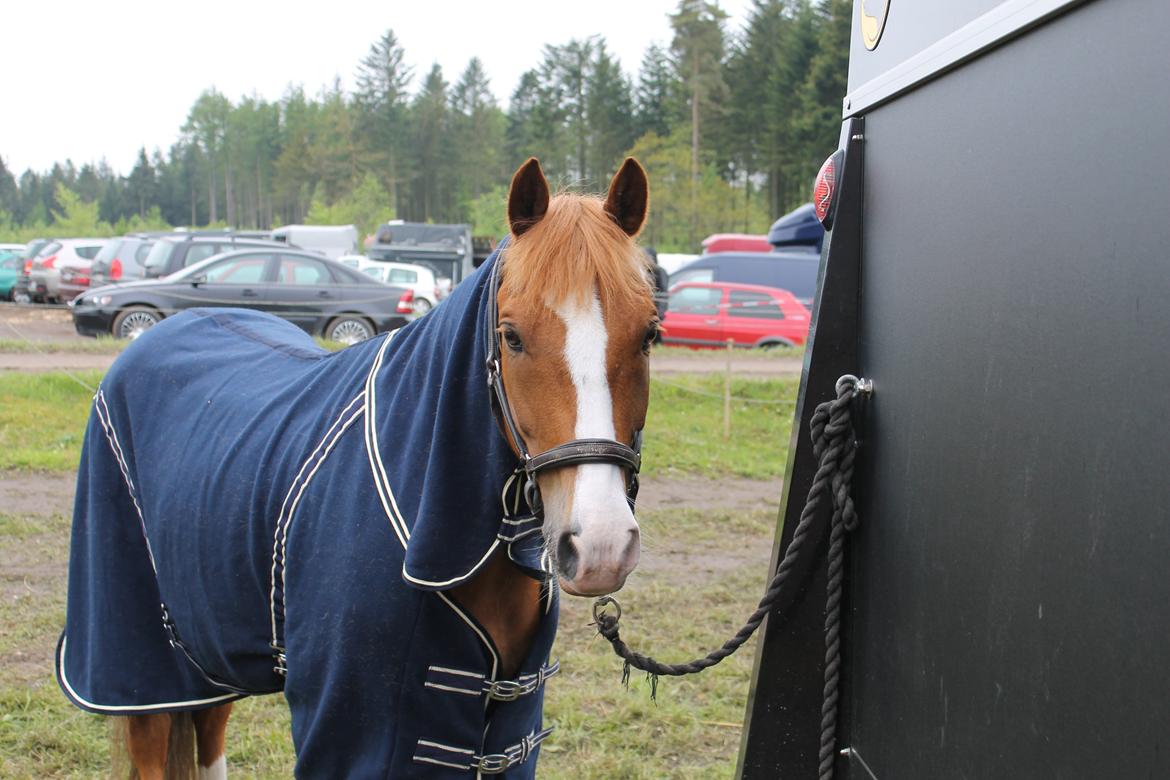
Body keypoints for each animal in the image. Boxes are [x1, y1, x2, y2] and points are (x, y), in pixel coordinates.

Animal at [55, 156, 658, 778]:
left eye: (649, 335)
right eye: (511, 337)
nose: (600, 545)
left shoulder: (510, 724)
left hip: (210, 637)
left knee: (210, 724)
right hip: (144, 664)